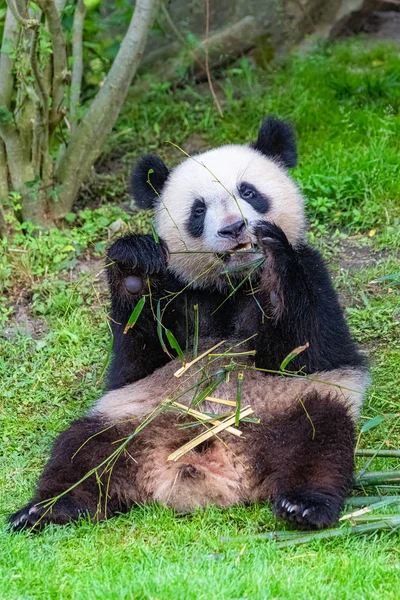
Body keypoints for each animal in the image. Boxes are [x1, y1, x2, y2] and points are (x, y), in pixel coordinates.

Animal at [8, 117, 368, 528]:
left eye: (249, 191)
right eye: (198, 210)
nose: (234, 228)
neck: (231, 283)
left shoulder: (315, 276)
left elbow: (307, 349)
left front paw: (271, 253)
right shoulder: (181, 294)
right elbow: (136, 359)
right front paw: (134, 268)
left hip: (294, 406)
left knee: (320, 440)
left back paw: (304, 505)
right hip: (127, 419)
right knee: (80, 453)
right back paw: (47, 508)